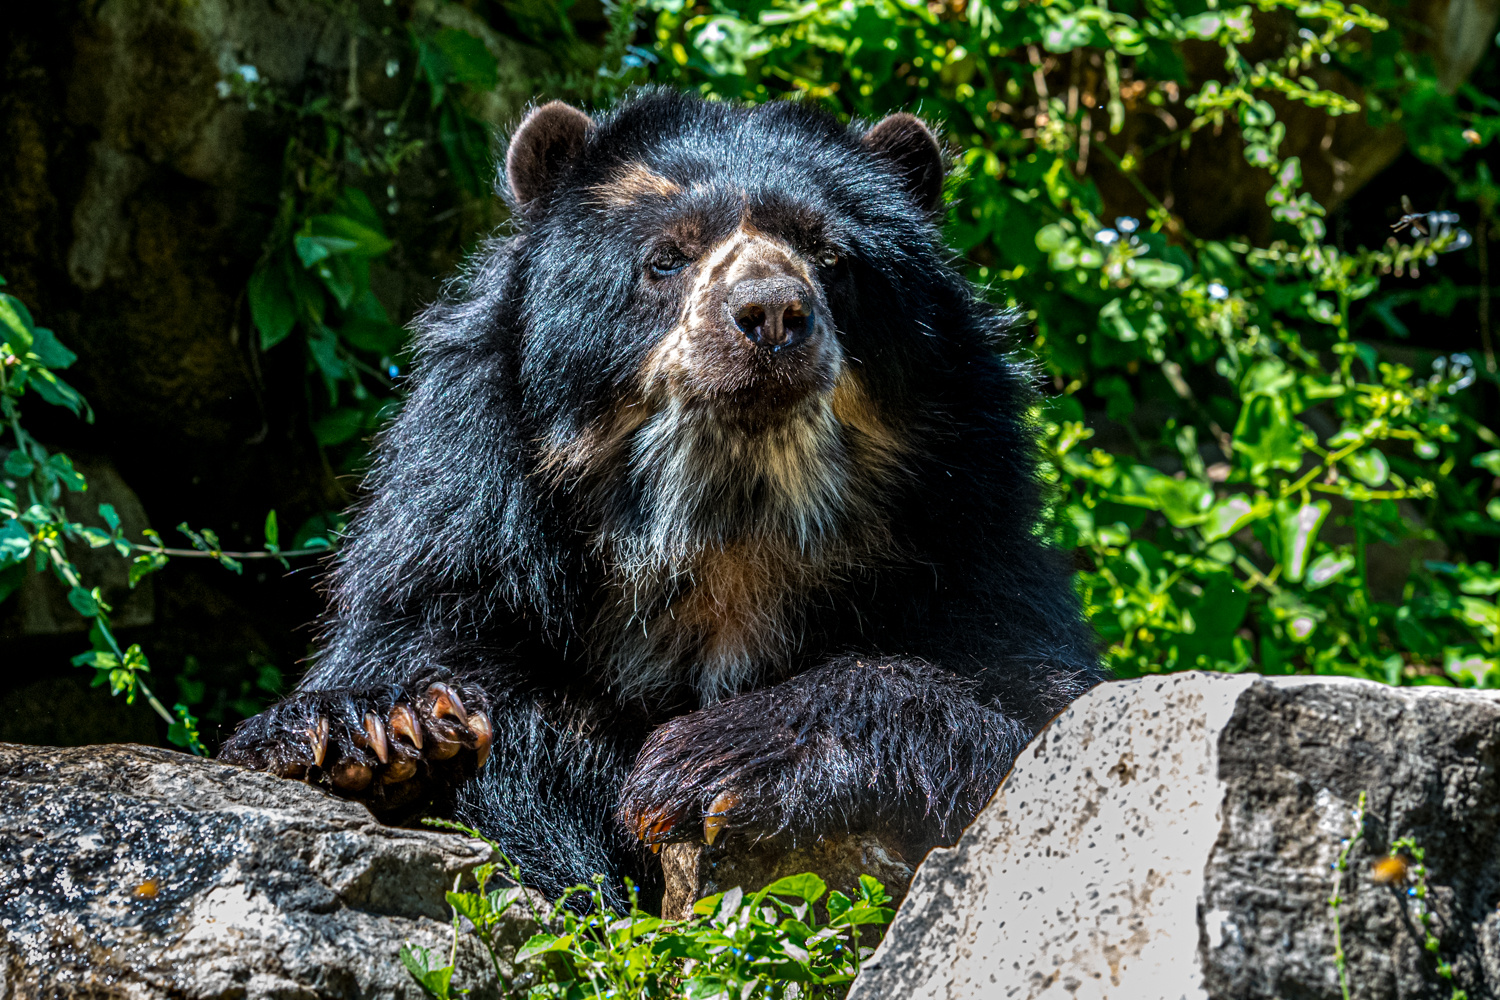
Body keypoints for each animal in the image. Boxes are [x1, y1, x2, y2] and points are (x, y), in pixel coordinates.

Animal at [225, 91, 1116, 905]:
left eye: (832, 255)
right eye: (666, 258)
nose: (770, 311)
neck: (729, 523)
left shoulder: (967, 547)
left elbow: (1033, 711)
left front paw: (719, 757)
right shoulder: (473, 533)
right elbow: (433, 660)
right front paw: (378, 732)